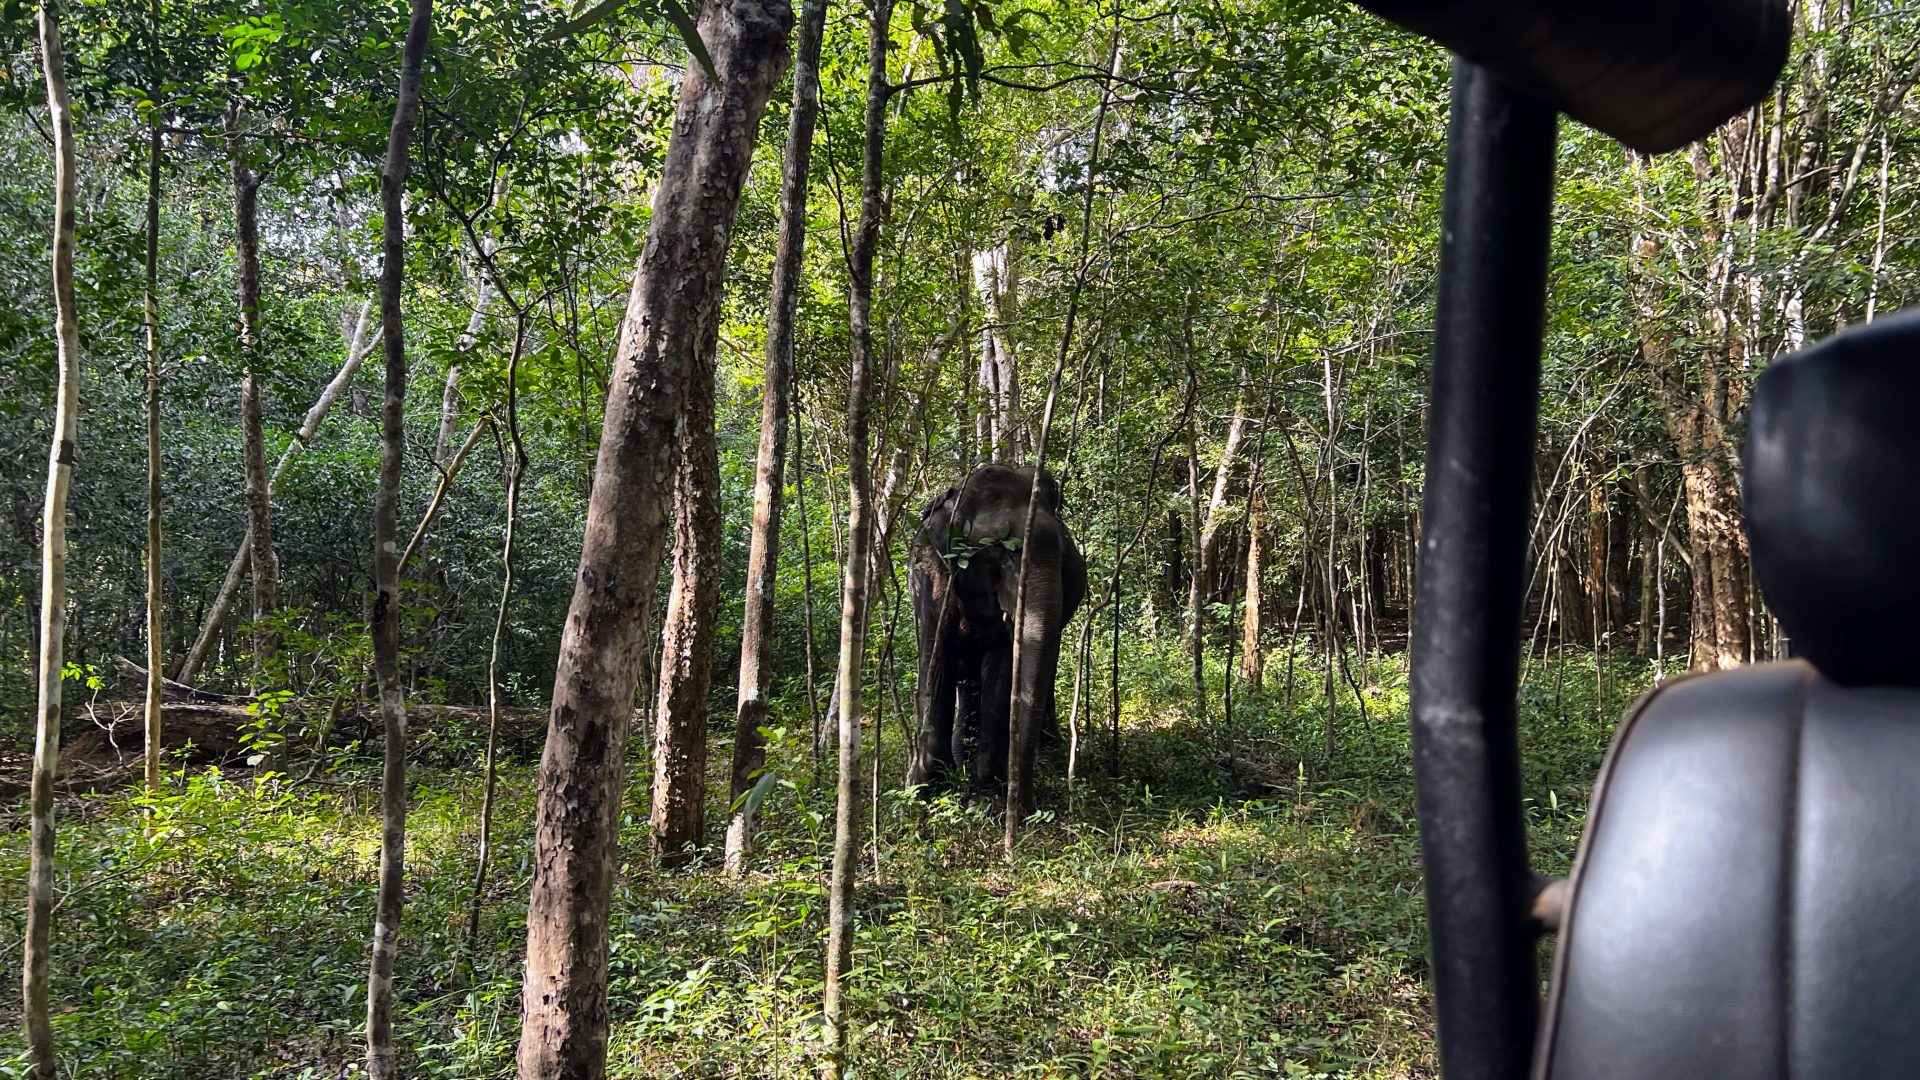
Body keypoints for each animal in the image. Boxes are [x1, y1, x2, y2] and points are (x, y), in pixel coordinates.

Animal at [906, 464, 1087, 811]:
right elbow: (937, 660)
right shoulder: (932, 580)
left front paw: (987, 795)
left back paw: (1047, 752)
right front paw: (924, 789)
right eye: (999, 556)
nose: (1027, 807)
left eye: (1063, 556)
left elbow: (1002, 668)